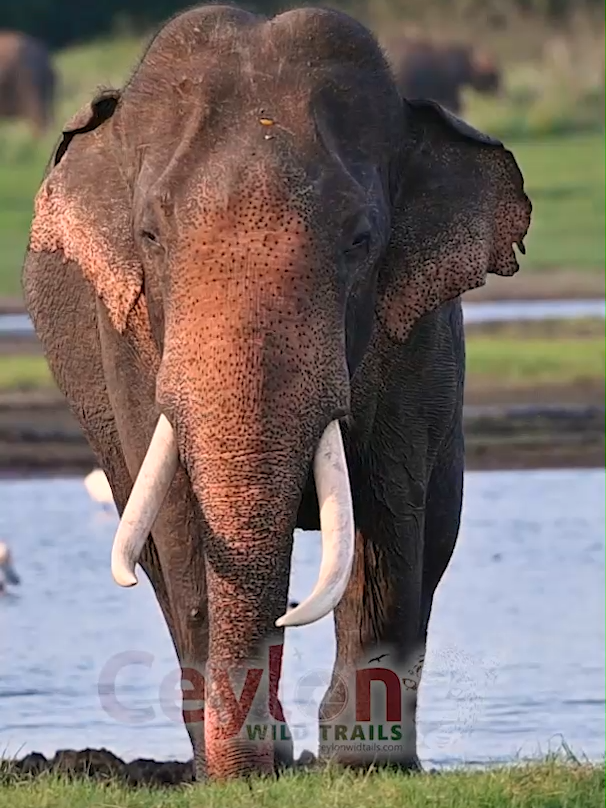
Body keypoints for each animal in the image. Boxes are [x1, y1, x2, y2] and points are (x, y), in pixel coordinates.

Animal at [22, 1, 532, 784]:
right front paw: (249, 771)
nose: (254, 767)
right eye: (149, 235)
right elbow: (181, 525)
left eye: (361, 240)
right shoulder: (129, 339)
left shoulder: (412, 334)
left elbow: (386, 510)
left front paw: (362, 768)